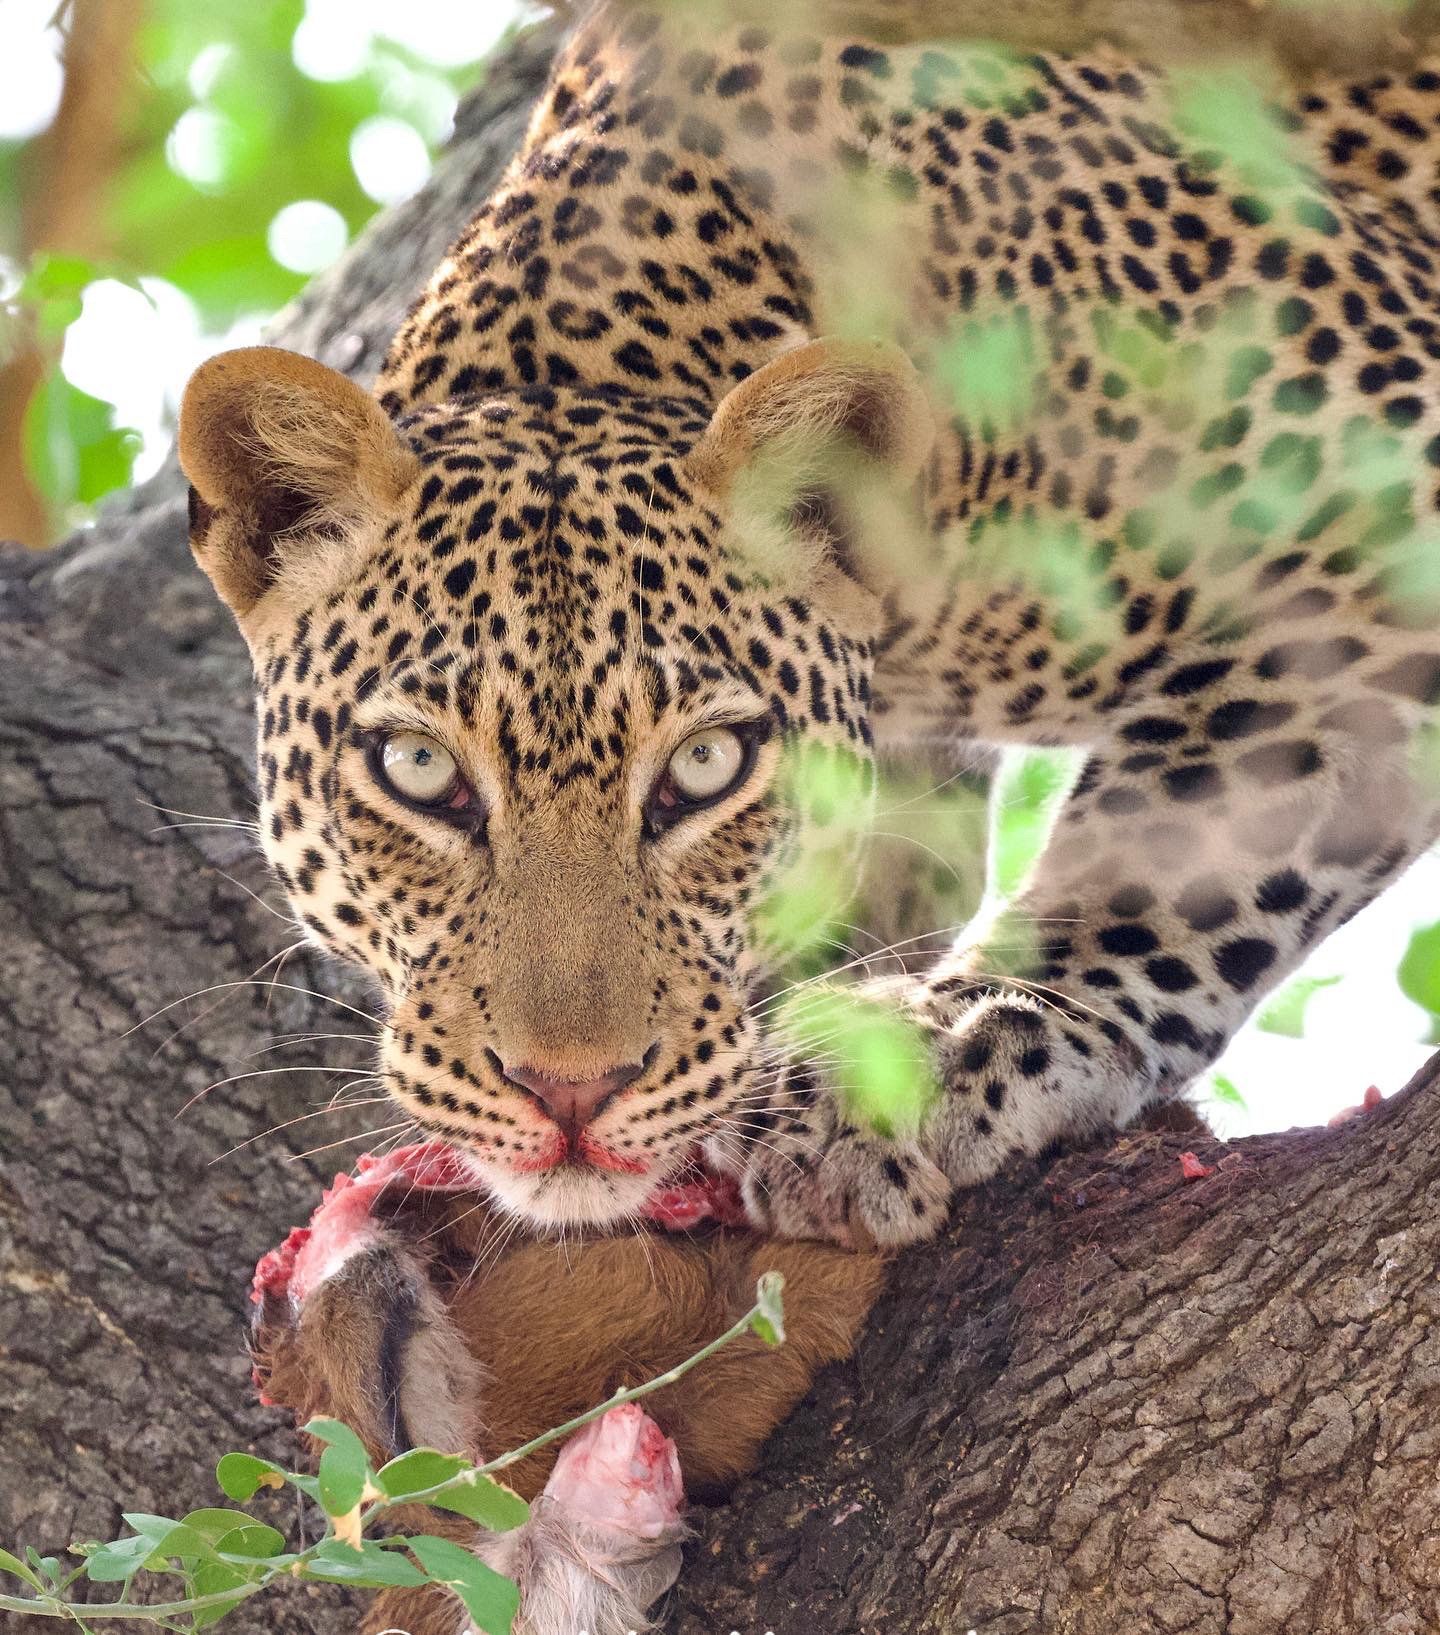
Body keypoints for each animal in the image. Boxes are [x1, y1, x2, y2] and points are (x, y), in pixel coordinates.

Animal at [178, 0, 1440, 1253]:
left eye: (706, 765)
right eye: (417, 769)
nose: (571, 1093)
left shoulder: (1389, 494)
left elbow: (1173, 836)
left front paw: (922, 1063)